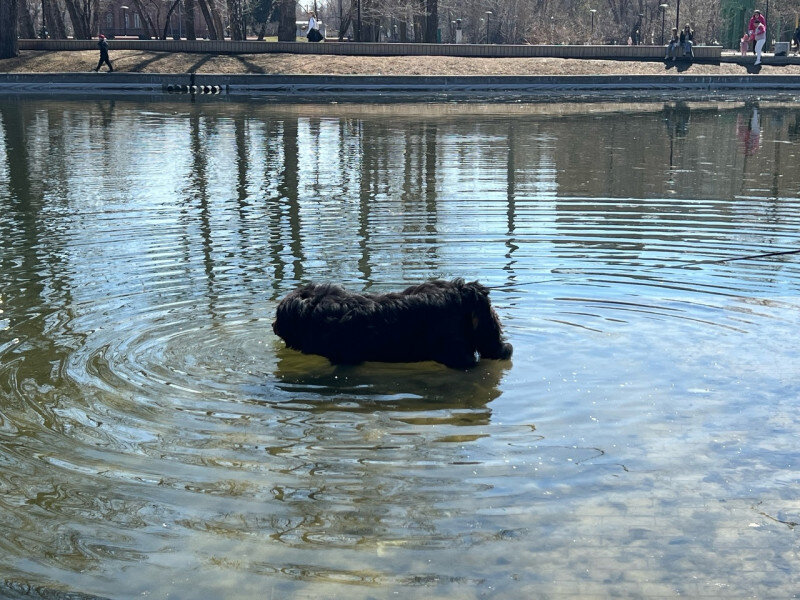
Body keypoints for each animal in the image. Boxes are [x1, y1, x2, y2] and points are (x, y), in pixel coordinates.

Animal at [276, 278, 512, 368]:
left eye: (279, 317)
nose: (274, 326)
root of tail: (465, 289)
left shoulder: (344, 356)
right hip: (485, 331)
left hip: (453, 349)